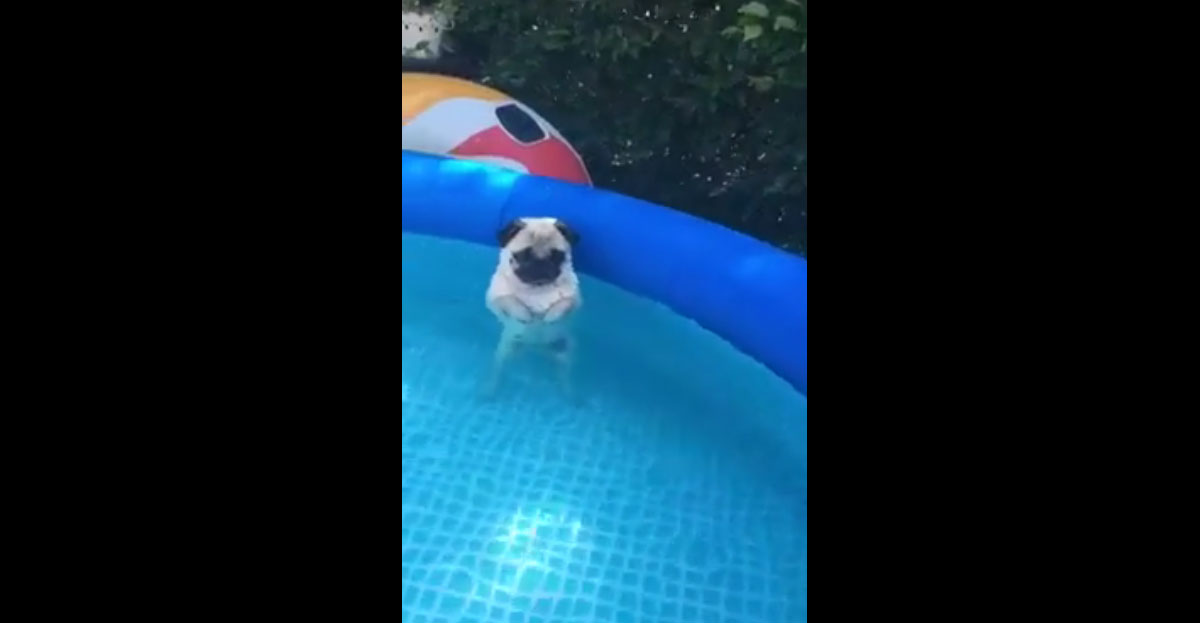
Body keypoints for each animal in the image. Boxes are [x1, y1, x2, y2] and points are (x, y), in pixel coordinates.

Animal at [483, 217, 582, 399]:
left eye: (557, 256)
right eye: (523, 255)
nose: (540, 263)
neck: (537, 288)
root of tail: (536, 347)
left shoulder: (575, 300)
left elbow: (564, 303)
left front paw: (551, 315)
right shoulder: (495, 298)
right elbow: (509, 300)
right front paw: (524, 314)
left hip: (564, 352)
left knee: (564, 375)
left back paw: (568, 393)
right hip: (506, 350)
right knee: (498, 369)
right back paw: (489, 389)